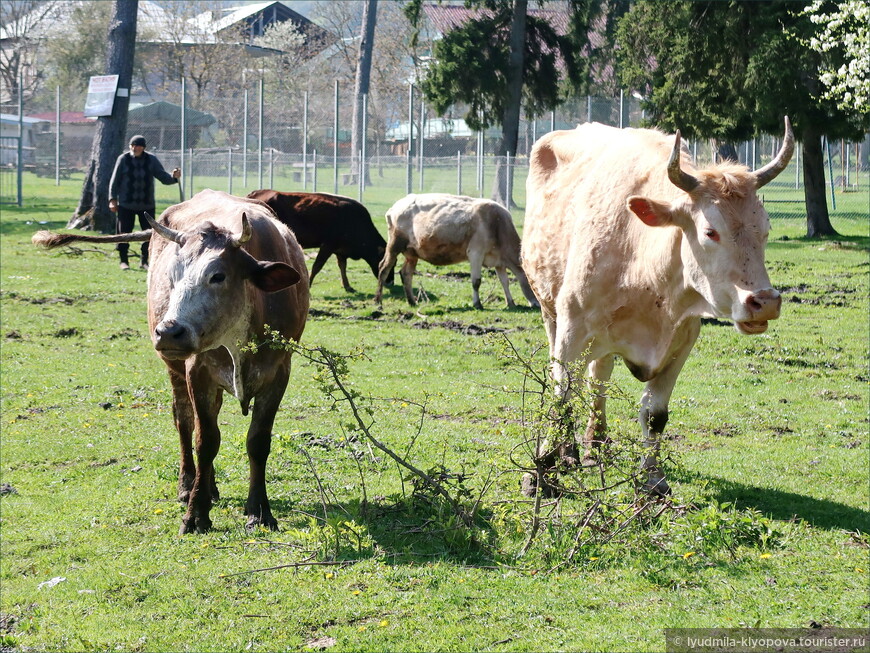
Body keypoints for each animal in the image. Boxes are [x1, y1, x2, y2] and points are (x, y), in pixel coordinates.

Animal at [35, 190, 314, 536]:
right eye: (172, 275)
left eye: (218, 275)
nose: (168, 332)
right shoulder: (197, 371)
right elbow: (205, 440)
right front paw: (196, 513)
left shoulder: (278, 374)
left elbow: (257, 441)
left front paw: (259, 511)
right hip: (176, 368)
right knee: (184, 420)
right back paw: (189, 486)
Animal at [245, 188, 388, 290]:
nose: (389, 281)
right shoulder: (328, 245)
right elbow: (317, 266)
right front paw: (309, 284)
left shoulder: (340, 249)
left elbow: (342, 266)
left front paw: (347, 285)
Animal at [520, 118, 792, 494]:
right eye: (710, 231)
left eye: (765, 229)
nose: (764, 302)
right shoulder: (572, 330)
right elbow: (562, 396)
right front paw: (542, 471)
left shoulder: (682, 341)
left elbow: (654, 413)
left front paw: (654, 479)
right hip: (550, 313)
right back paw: (571, 452)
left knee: (598, 379)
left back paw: (595, 445)